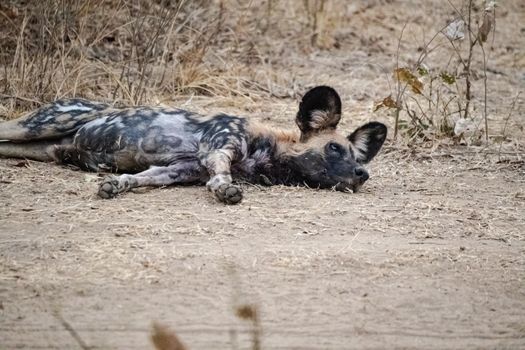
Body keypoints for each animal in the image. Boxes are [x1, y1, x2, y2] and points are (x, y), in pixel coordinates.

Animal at [0, 86, 384, 204]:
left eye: (358, 157)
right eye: (334, 149)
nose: (362, 174)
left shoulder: (176, 171)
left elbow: (135, 179)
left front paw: (114, 185)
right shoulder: (221, 149)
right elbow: (221, 177)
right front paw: (226, 190)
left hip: (40, 146)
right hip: (39, 125)